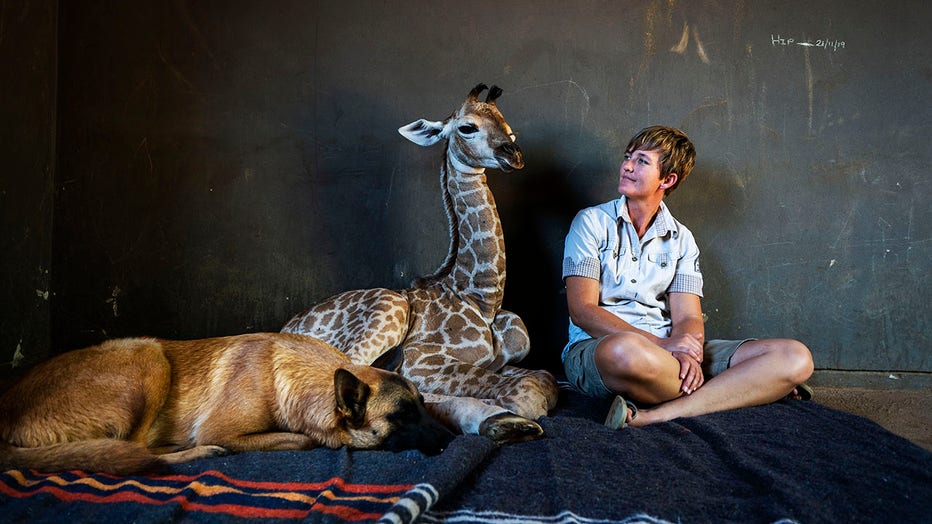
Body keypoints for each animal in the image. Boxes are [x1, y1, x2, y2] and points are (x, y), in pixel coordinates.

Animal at [0, 334, 452, 476]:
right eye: (402, 415)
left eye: (423, 405)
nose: (452, 440)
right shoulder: (224, 429)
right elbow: (305, 440)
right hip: (147, 355)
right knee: (136, 450)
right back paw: (193, 452)